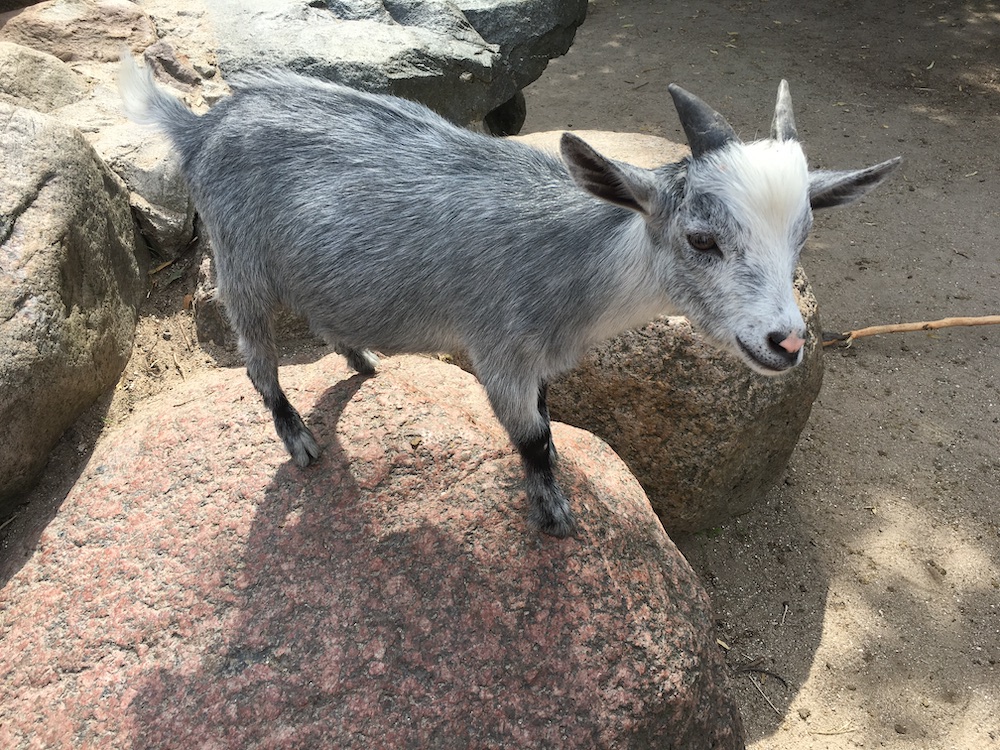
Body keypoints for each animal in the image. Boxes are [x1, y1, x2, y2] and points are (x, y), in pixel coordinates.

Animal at [121, 55, 904, 540]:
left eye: (803, 234)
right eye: (702, 239)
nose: (787, 341)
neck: (575, 265)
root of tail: (200, 126)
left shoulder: (542, 360)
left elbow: (550, 424)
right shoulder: (498, 348)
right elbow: (531, 437)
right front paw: (555, 519)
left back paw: (361, 359)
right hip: (241, 261)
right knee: (258, 360)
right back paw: (299, 439)